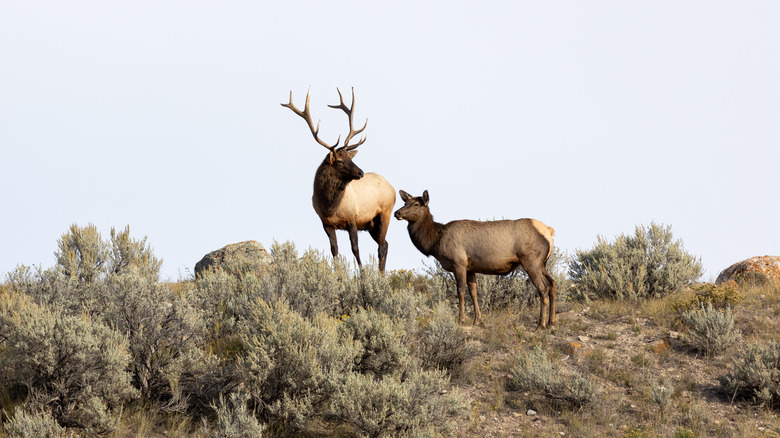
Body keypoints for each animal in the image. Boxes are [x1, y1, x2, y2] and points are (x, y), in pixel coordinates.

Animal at [282, 87, 396, 272]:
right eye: (341, 161)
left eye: (350, 158)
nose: (360, 172)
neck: (330, 207)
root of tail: (392, 187)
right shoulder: (326, 223)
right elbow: (334, 250)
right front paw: (338, 273)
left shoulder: (352, 219)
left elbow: (355, 248)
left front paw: (362, 272)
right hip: (371, 224)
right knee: (384, 243)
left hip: (385, 213)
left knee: (382, 246)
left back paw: (380, 274)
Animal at [396, 190, 556, 326]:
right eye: (405, 202)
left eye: (416, 204)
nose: (397, 212)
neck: (435, 242)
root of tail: (549, 231)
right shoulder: (470, 268)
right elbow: (473, 292)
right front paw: (477, 320)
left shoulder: (459, 263)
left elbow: (460, 291)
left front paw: (461, 319)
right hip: (543, 263)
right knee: (552, 283)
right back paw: (551, 321)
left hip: (531, 261)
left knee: (543, 287)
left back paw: (541, 323)